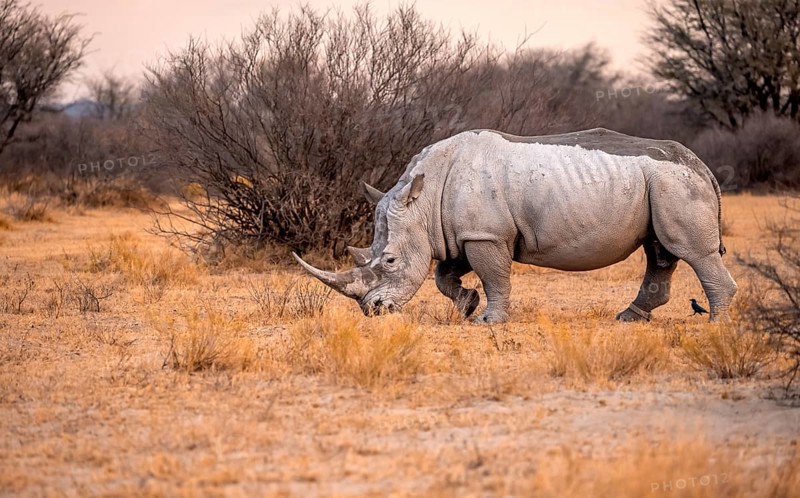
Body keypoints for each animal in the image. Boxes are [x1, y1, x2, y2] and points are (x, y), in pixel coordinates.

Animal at [294, 128, 738, 323]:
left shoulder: (485, 234)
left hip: (675, 183)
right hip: (661, 184)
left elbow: (494, 276)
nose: (372, 311)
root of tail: (702, 165)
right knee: (659, 252)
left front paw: (490, 320)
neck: (423, 198)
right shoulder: (460, 232)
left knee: (690, 251)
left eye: (388, 261)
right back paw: (629, 317)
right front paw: (467, 305)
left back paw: (715, 324)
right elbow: (443, 275)